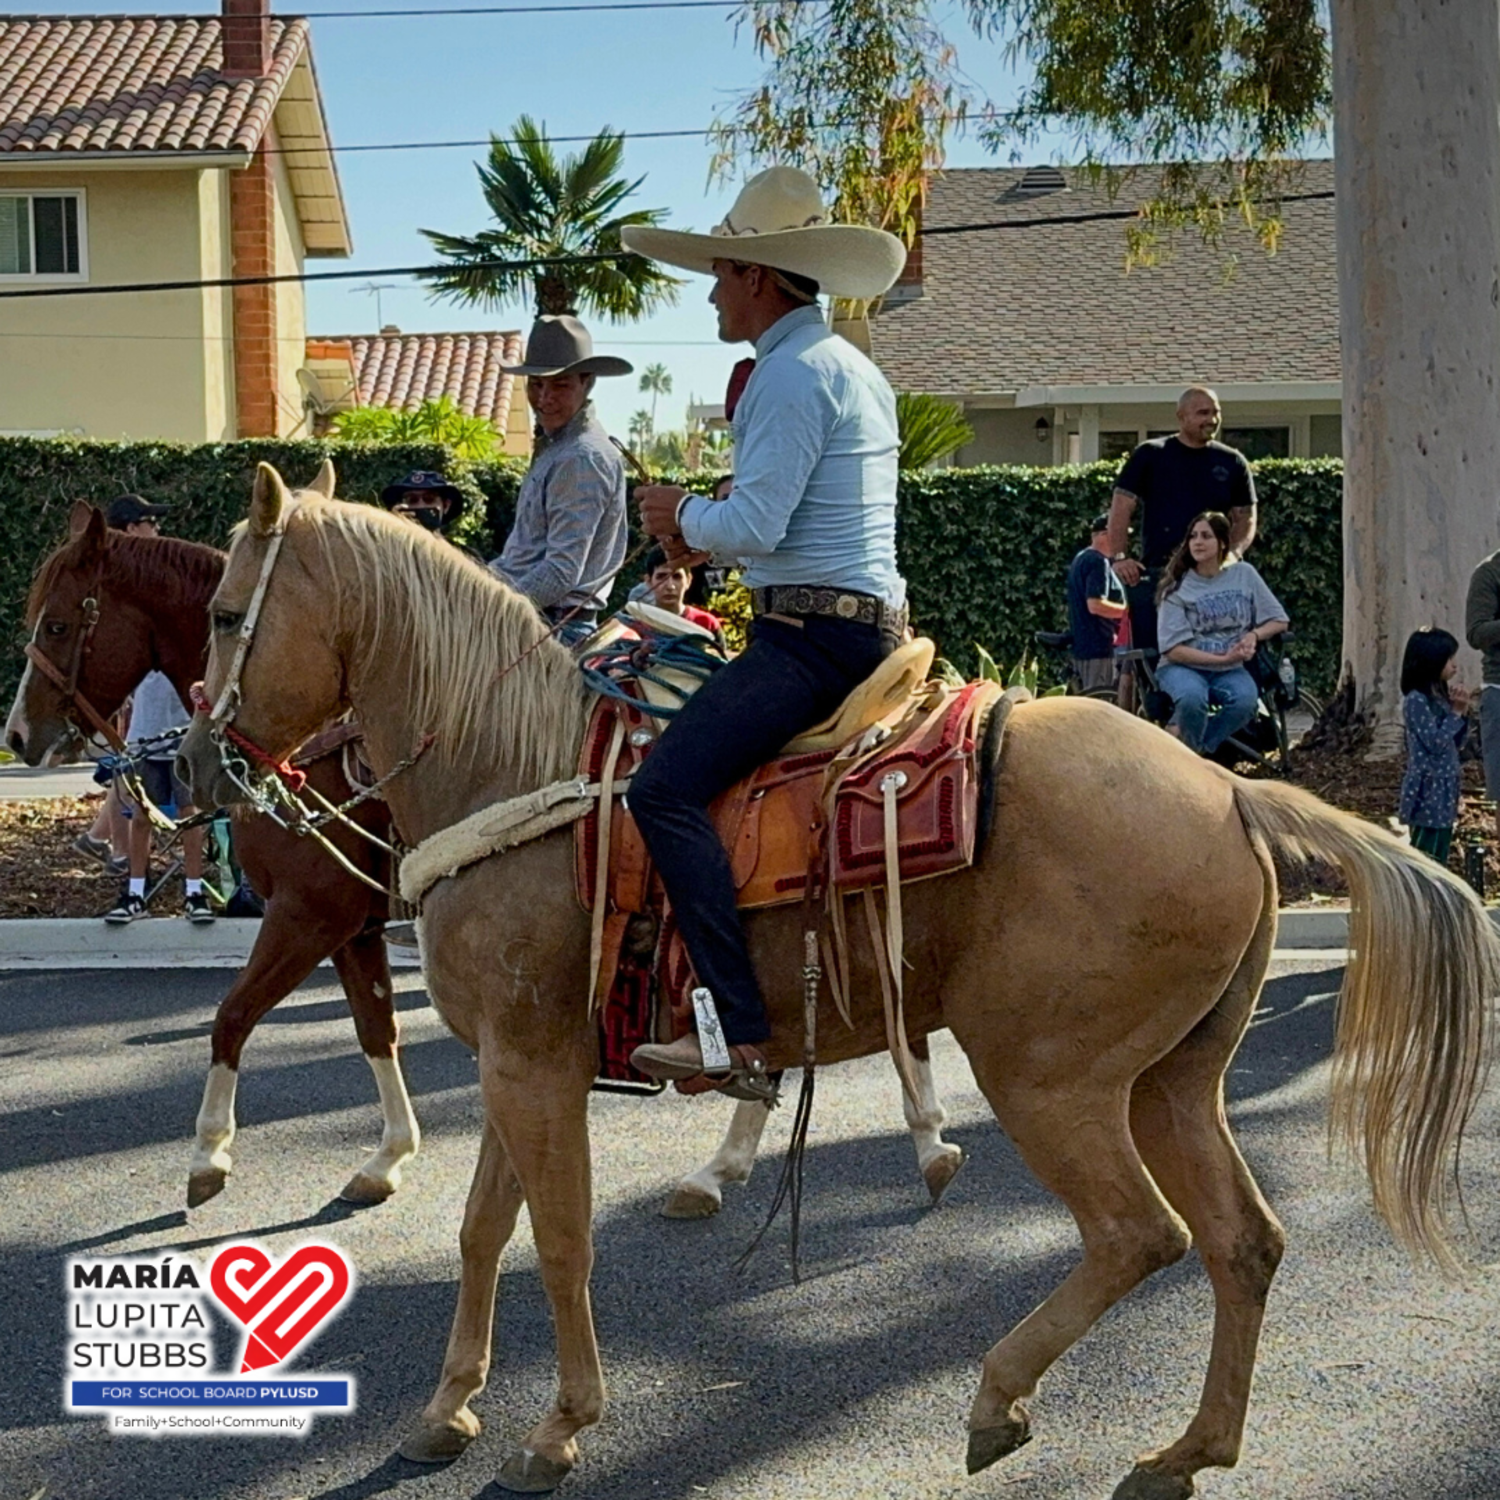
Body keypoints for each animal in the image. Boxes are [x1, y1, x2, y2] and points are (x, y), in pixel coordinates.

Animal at [5, 483, 960, 1218]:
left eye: (54, 626)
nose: (19, 735)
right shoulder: (352, 924)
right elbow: (376, 1027)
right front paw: (389, 1155)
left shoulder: (307, 914)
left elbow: (233, 1015)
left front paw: (209, 1156)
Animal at [178, 462, 1500, 1494]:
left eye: (230, 611)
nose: (193, 763)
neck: (516, 770)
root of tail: (1231, 791)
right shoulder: (519, 1060)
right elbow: (479, 1230)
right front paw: (448, 1410)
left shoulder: (536, 1067)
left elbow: (556, 1241)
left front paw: (556, 1430)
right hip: (1173, 1080)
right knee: (1243, 1242)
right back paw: (1187, 1451)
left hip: (1052, 1078)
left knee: (1140, 1236)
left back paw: (998, 1401)